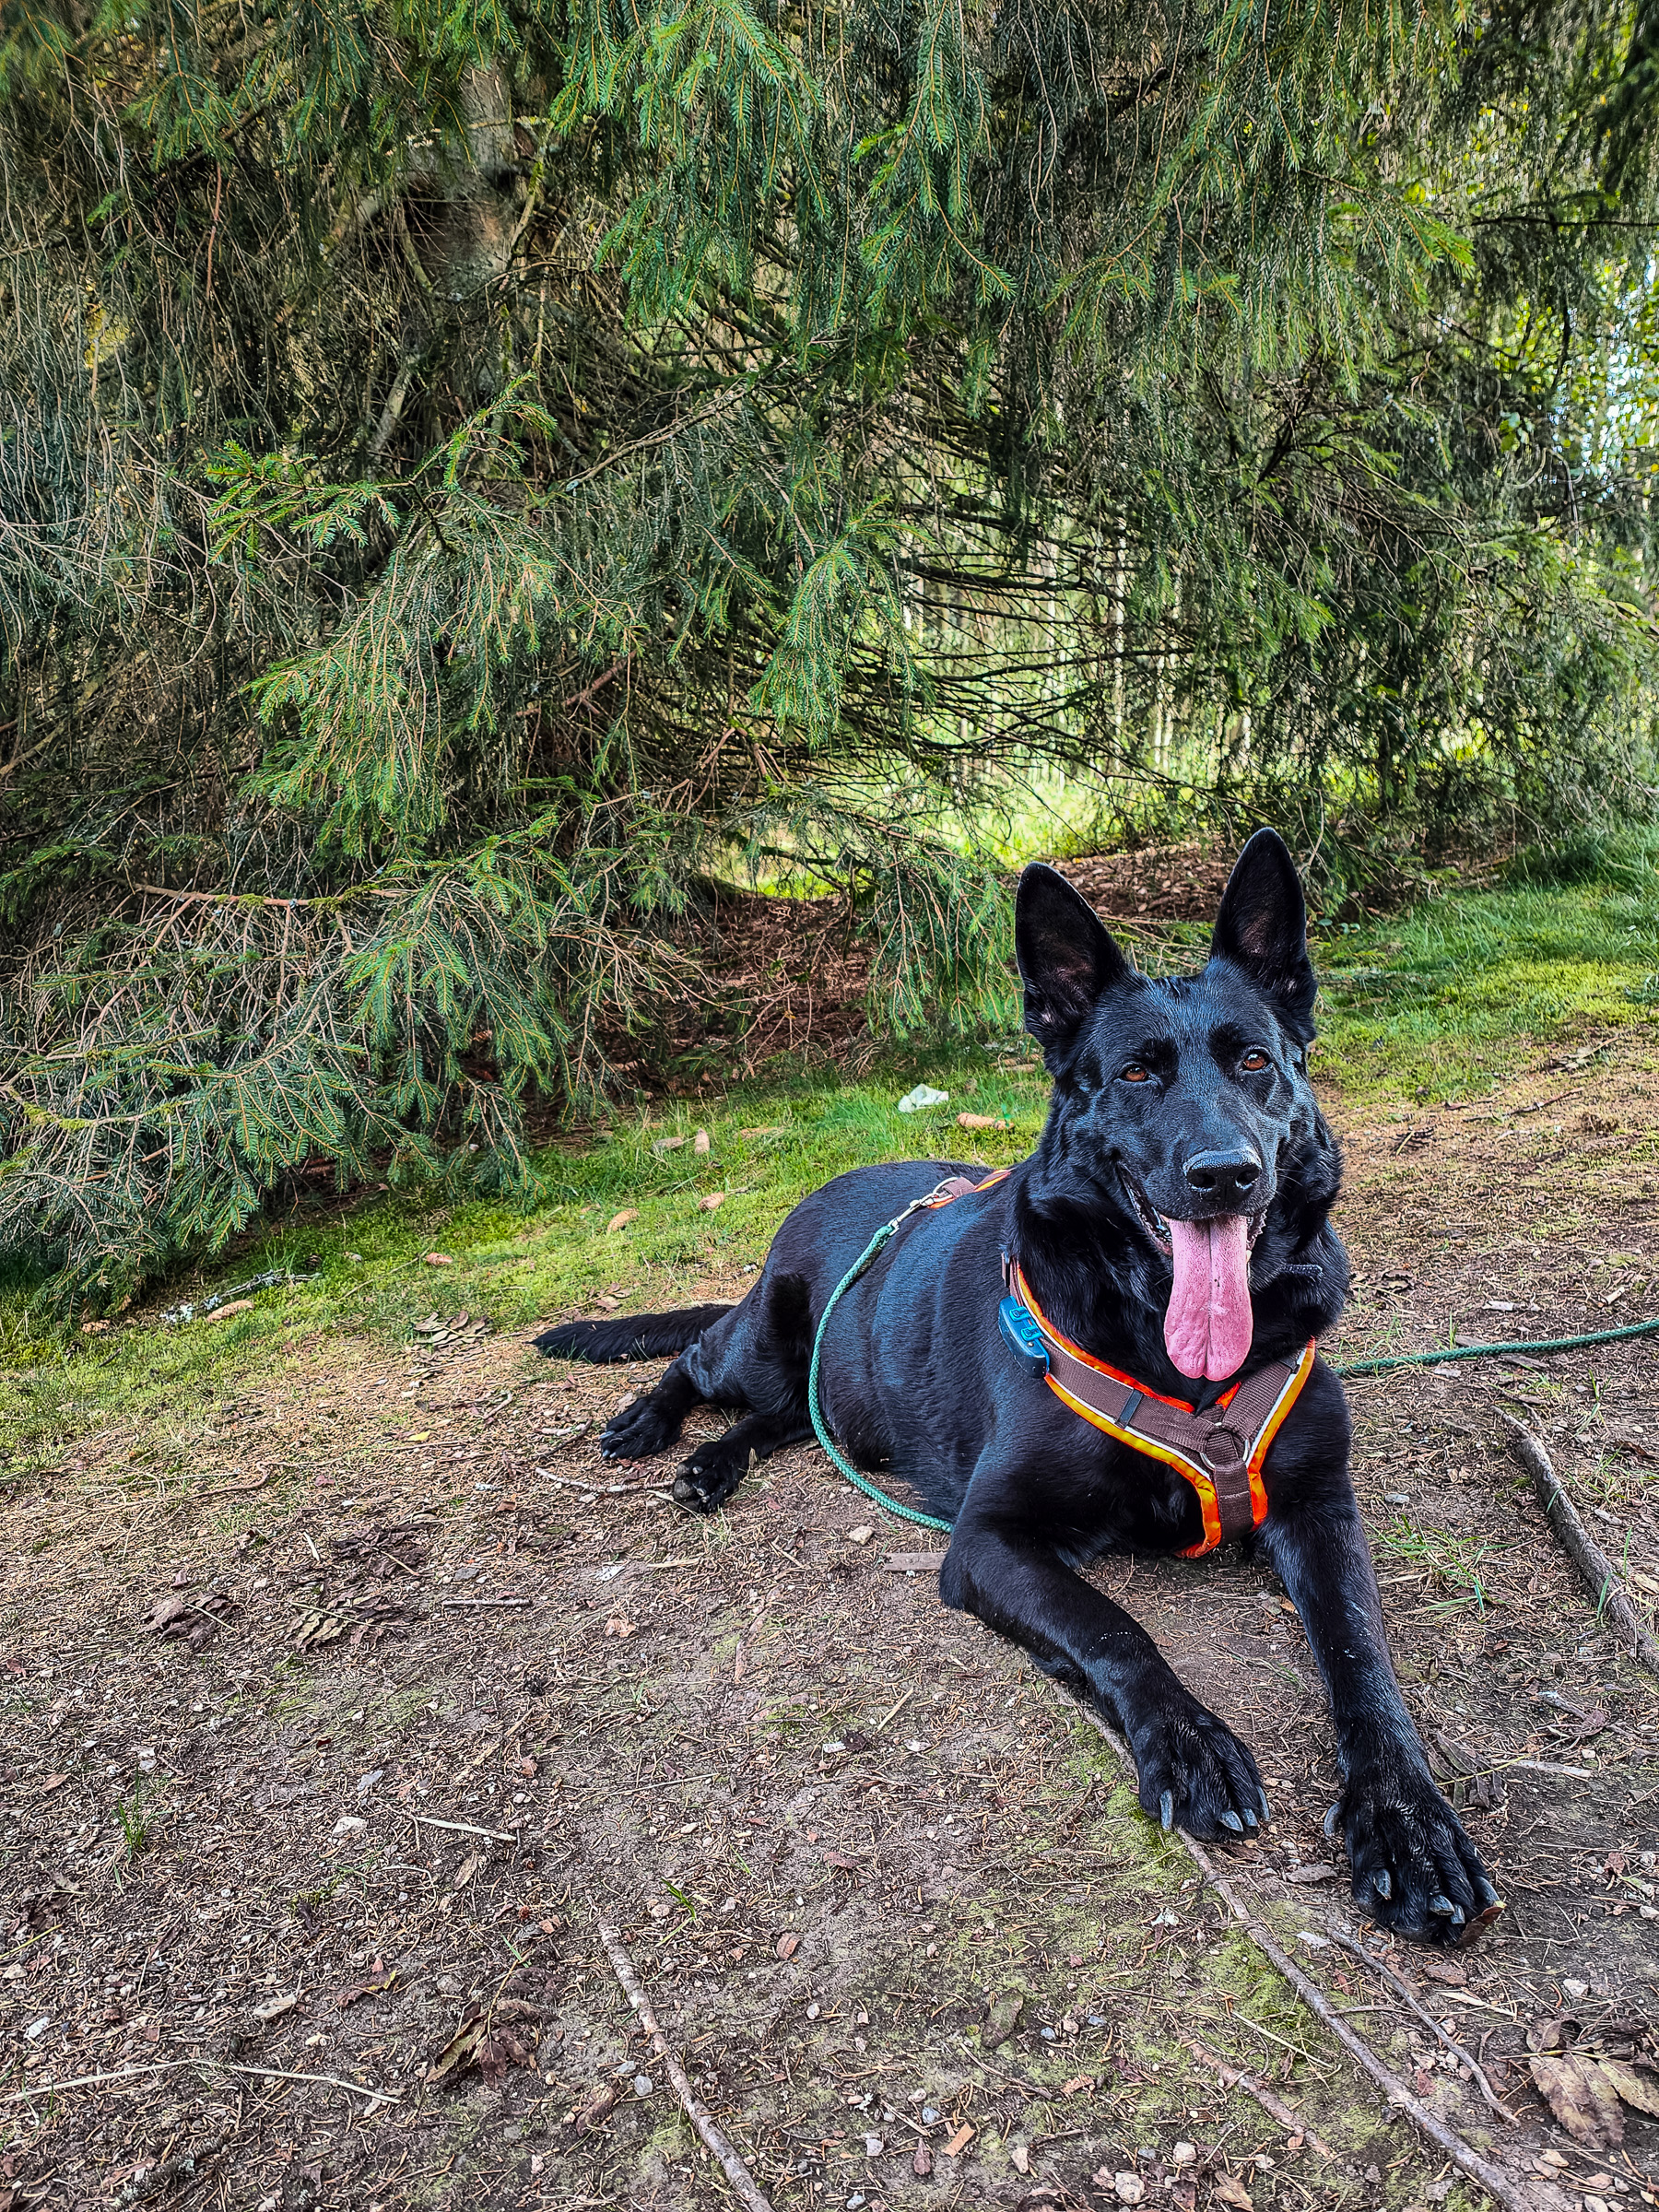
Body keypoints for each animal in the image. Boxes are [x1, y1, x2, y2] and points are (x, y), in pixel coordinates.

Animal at [546, 836, 1504, 1947]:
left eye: (1255, 1061)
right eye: (1135, 1072)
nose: (1225, 1174)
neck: (1175, 1358)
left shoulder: (1319, 1507)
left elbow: (1361, 1655)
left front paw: (1407, 1820)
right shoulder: (990, 1541)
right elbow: (1114, 1628)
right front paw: (1189, 1742)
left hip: (839, 1398)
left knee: (786, 1420)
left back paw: (715, 1460)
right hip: (762, 1338)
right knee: (699, 1357)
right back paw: (656, 1429)